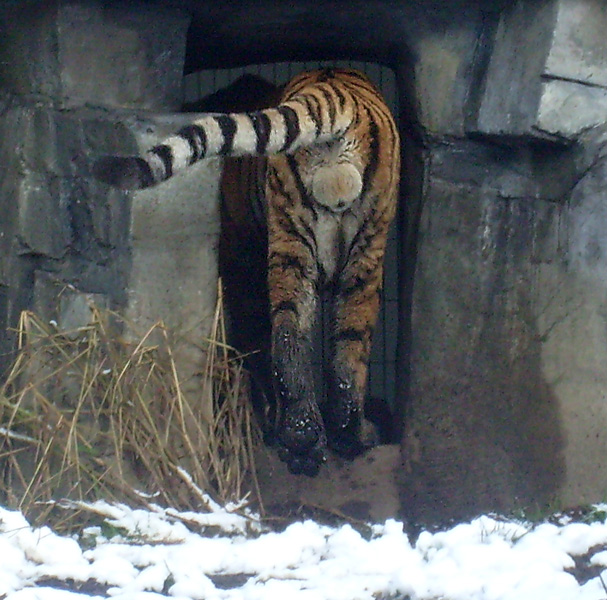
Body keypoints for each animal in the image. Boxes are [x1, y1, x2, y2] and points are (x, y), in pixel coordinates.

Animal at [94, 68, 400, 476]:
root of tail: (334, 85)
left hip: (329, 246)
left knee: (302, 336)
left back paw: (316, 439)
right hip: (328, 247)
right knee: (320, 340)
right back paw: (330, 437)